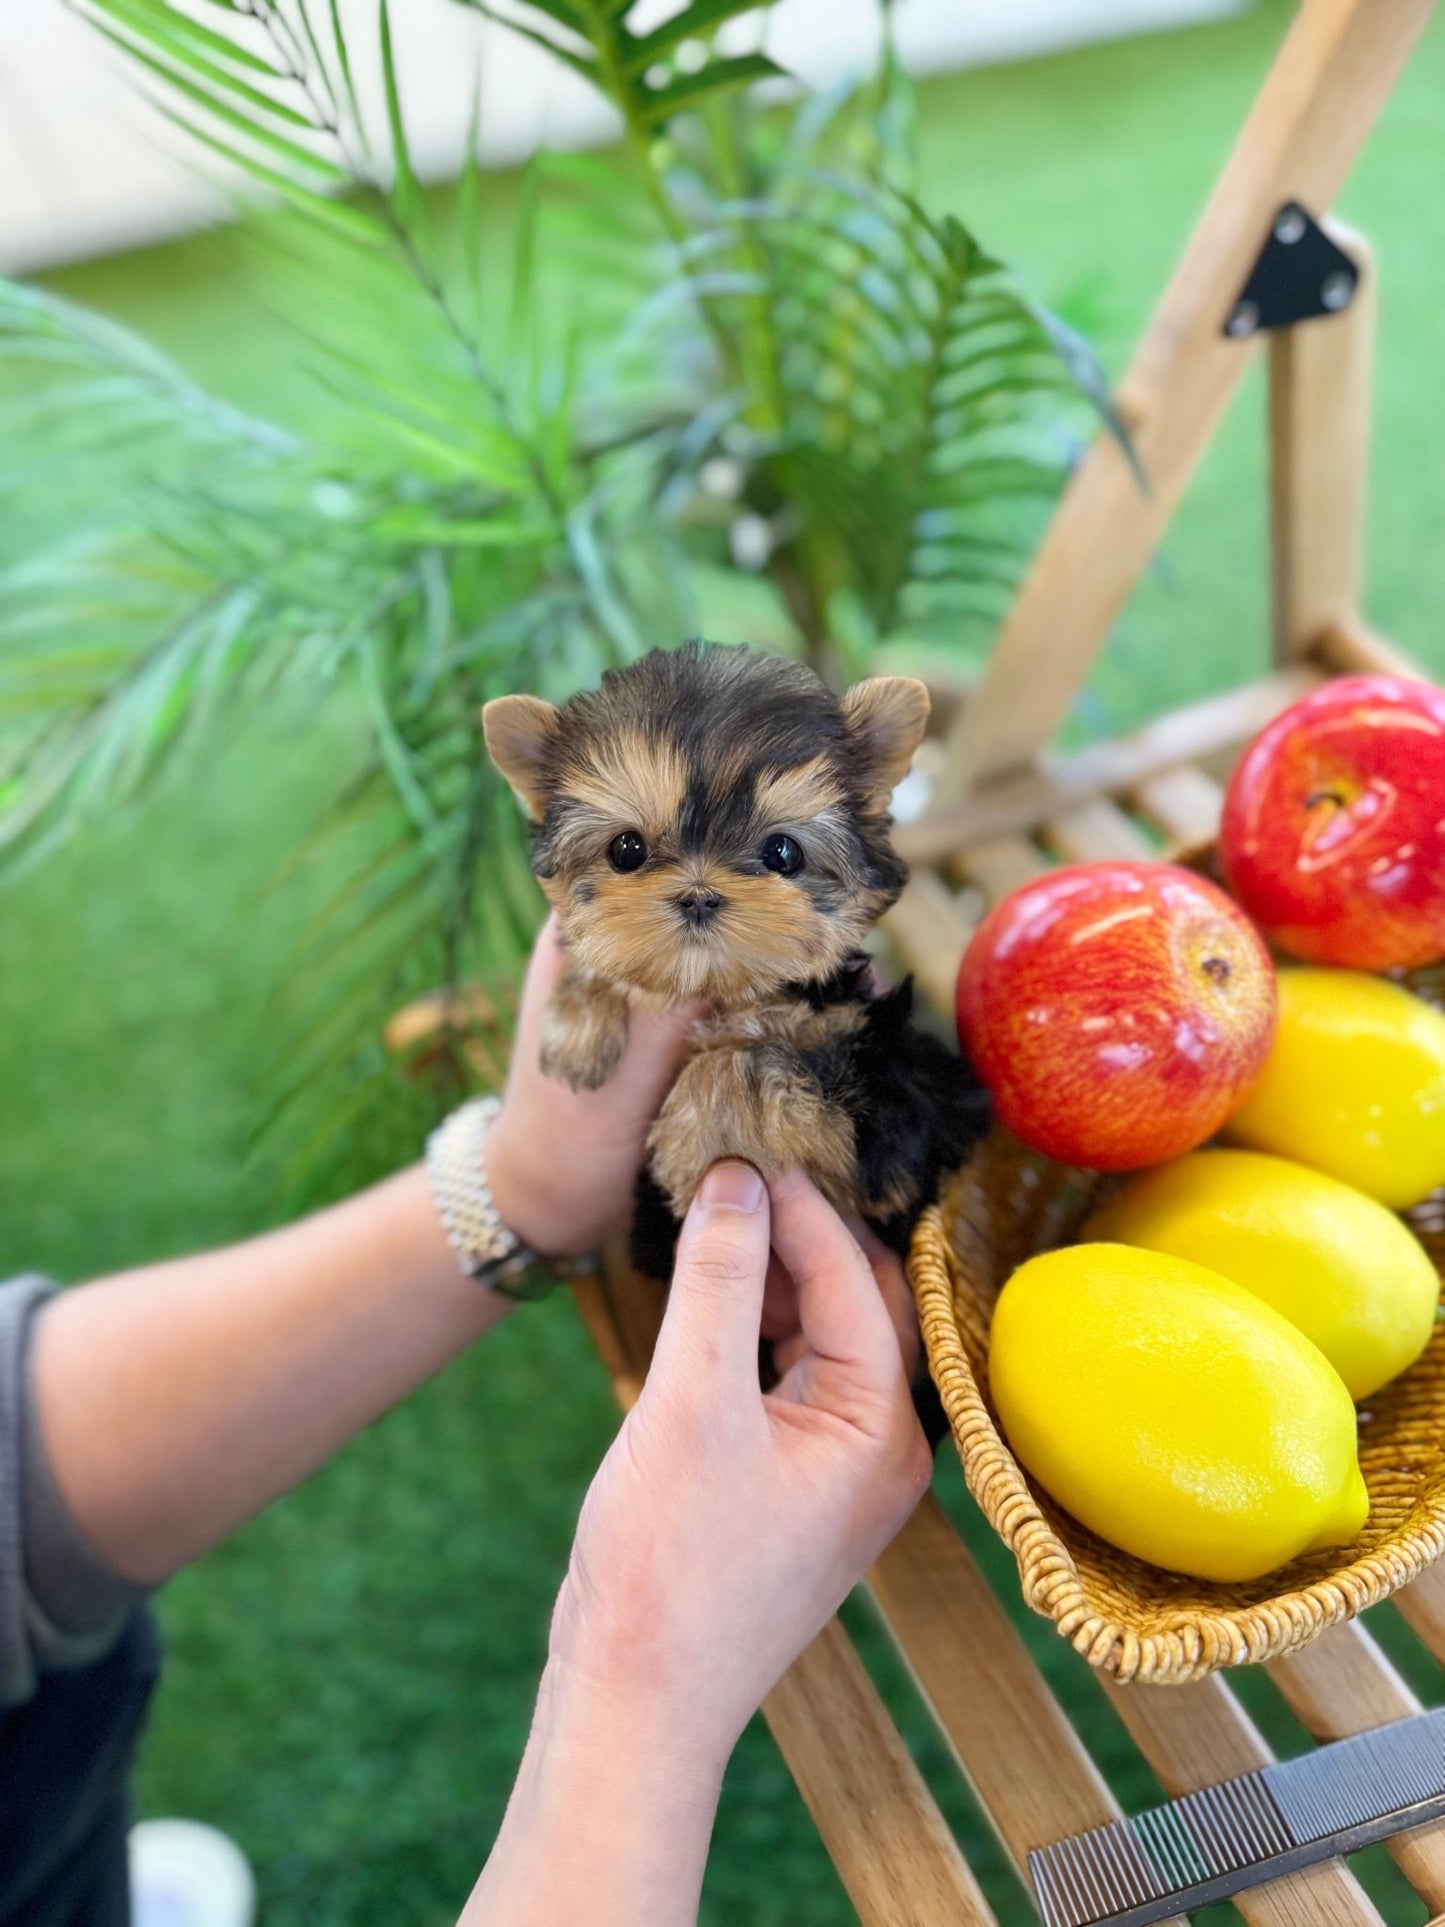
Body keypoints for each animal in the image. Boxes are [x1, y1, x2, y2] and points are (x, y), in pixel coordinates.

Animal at [487, 643, 994, 1279]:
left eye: (782, 852)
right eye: (626, 850)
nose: (699, 895)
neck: (727, 991)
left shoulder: (890, 1120)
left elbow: (754, 1060)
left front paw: (696, 1135)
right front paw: (580, 1018)